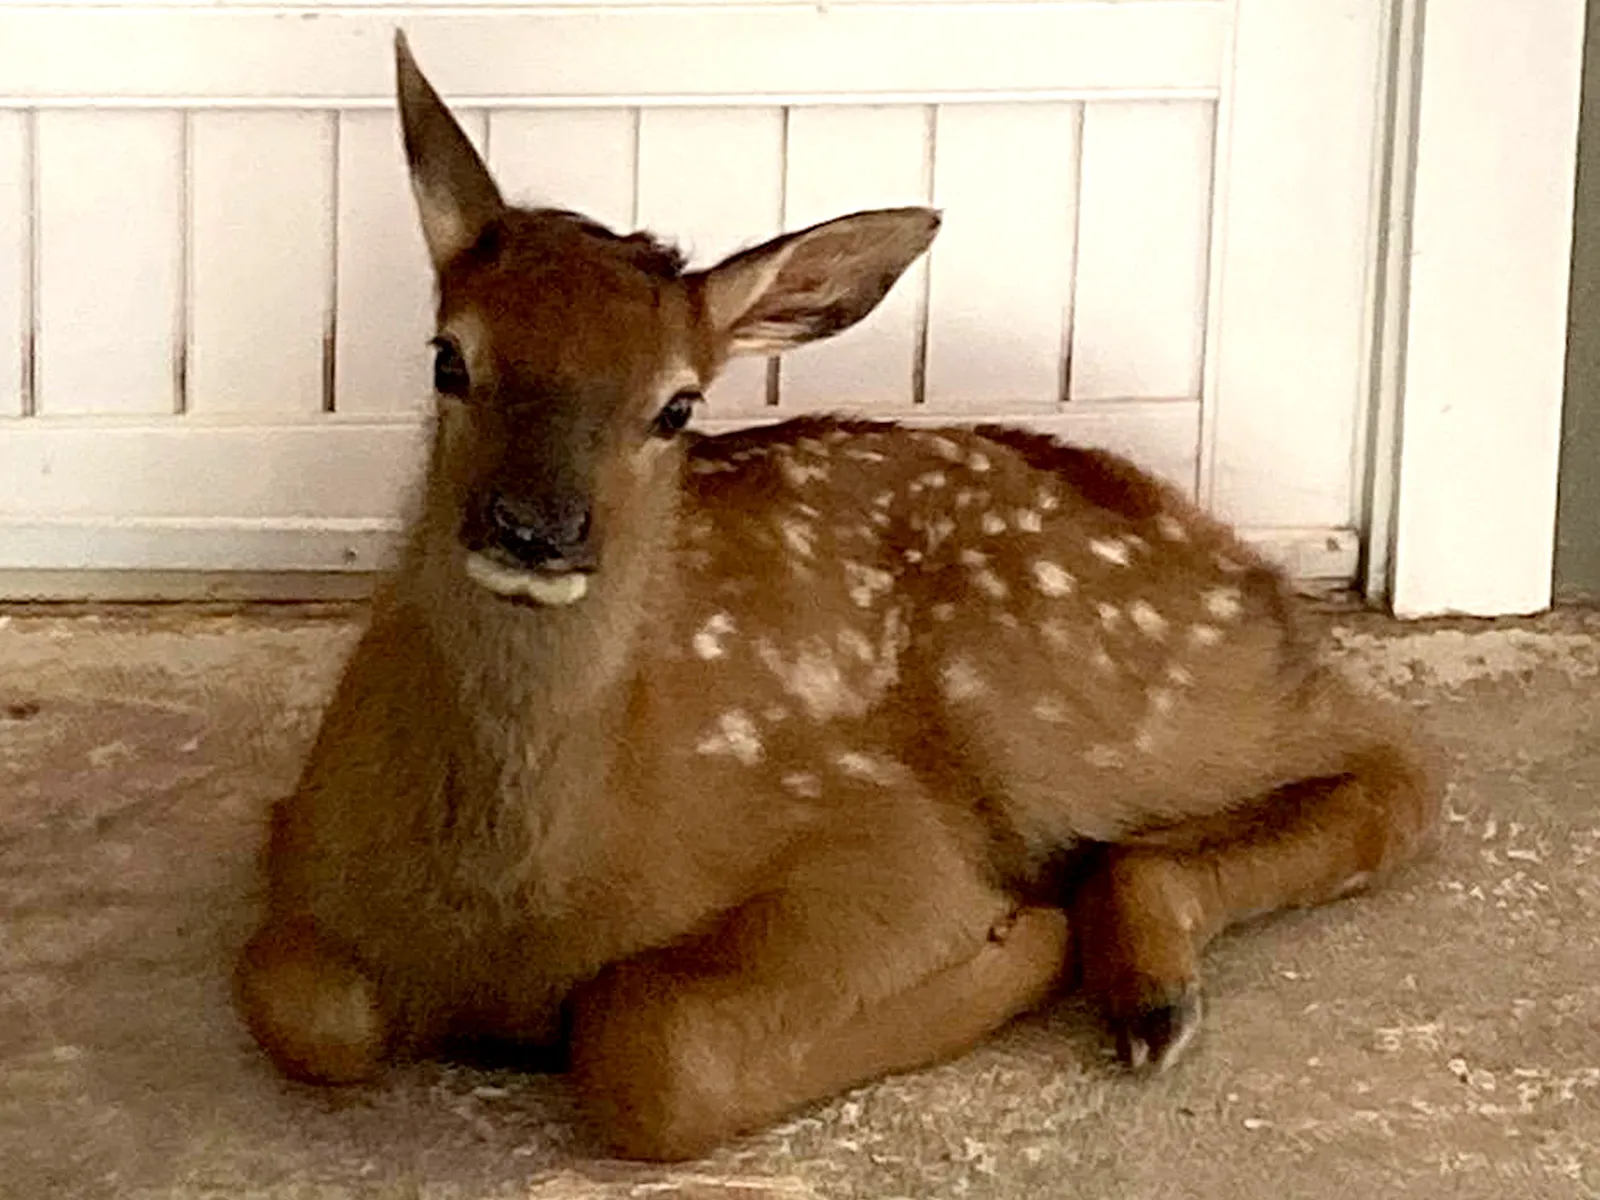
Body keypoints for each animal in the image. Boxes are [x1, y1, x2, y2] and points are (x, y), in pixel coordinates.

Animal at [233, 31, 1442, 1163]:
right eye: (449, 357)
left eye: (677, 406)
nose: (536, 529)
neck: (511, 908)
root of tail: (1216, 545)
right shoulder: (299, 848)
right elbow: (303, 1003)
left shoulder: (876, 835)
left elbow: (650, 1043)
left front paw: (1015, 940)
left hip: (1069, 691)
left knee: (1393, 758)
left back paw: (1144, 984)